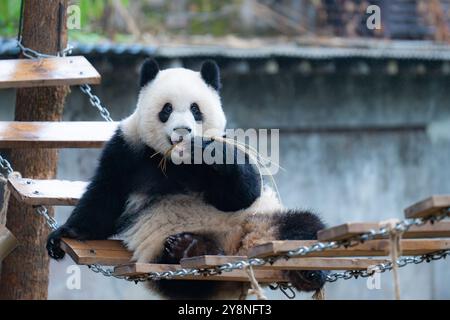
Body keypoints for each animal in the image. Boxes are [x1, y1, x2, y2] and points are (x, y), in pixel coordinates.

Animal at [45, 58, 326, 300]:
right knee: (183, 279)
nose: (183, 131)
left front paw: (217, 155)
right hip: (162, 257)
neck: (176, 161)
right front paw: (63, 235)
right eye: (167, 109)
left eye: (195, 109)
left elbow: (241, 194)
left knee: (304, 226)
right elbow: (105, 198)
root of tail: (240, 249)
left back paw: (309, 273)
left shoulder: (221, 152)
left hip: (262, 220)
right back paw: (191, 248)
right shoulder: (126, 149)